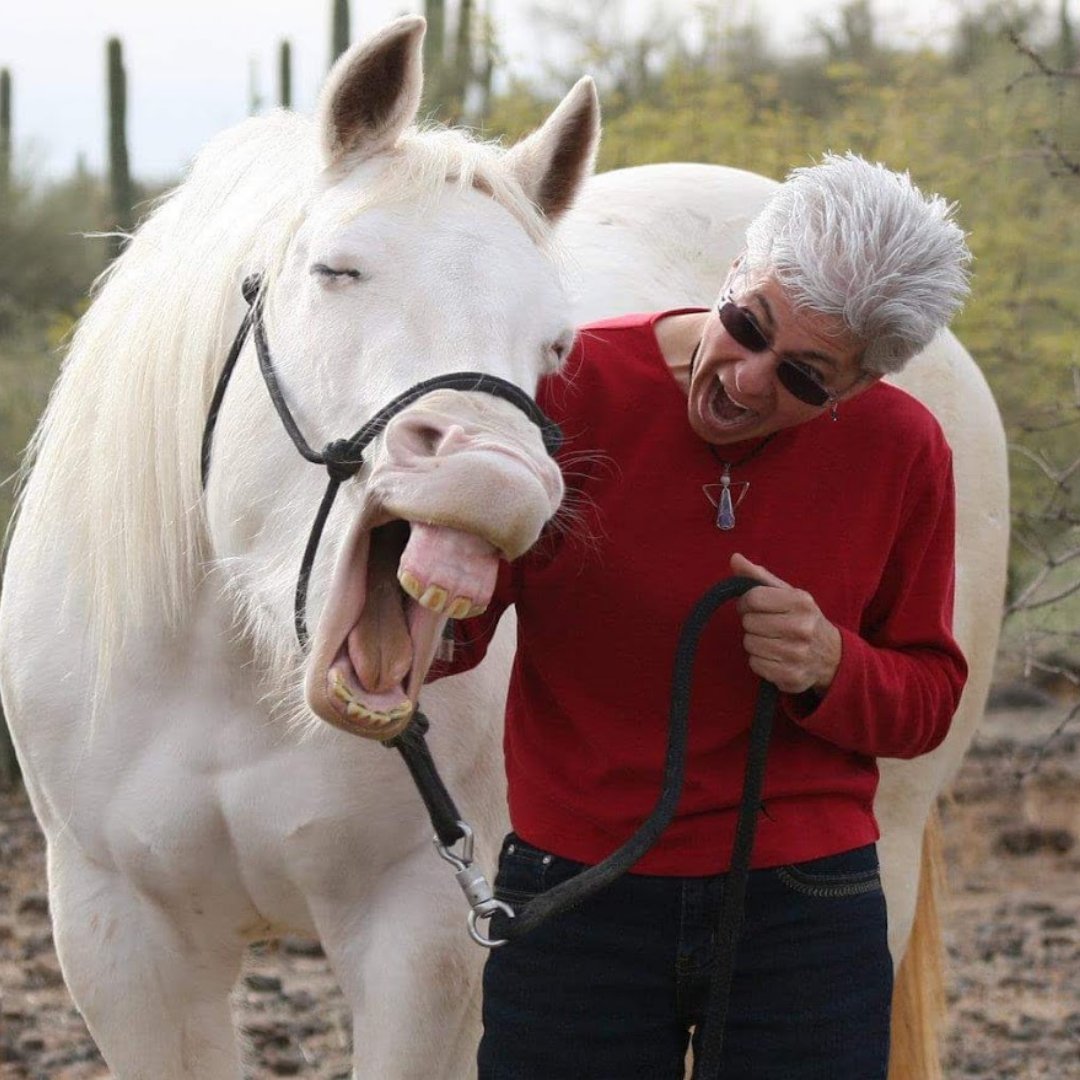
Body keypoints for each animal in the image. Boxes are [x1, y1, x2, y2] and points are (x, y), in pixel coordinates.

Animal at [0, 16, 1009, 1080]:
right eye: (336, 270)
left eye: (556, 344)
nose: (495, 477)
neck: (231, 672)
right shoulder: (124, 940)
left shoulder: (428, 936)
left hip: (887, 841)